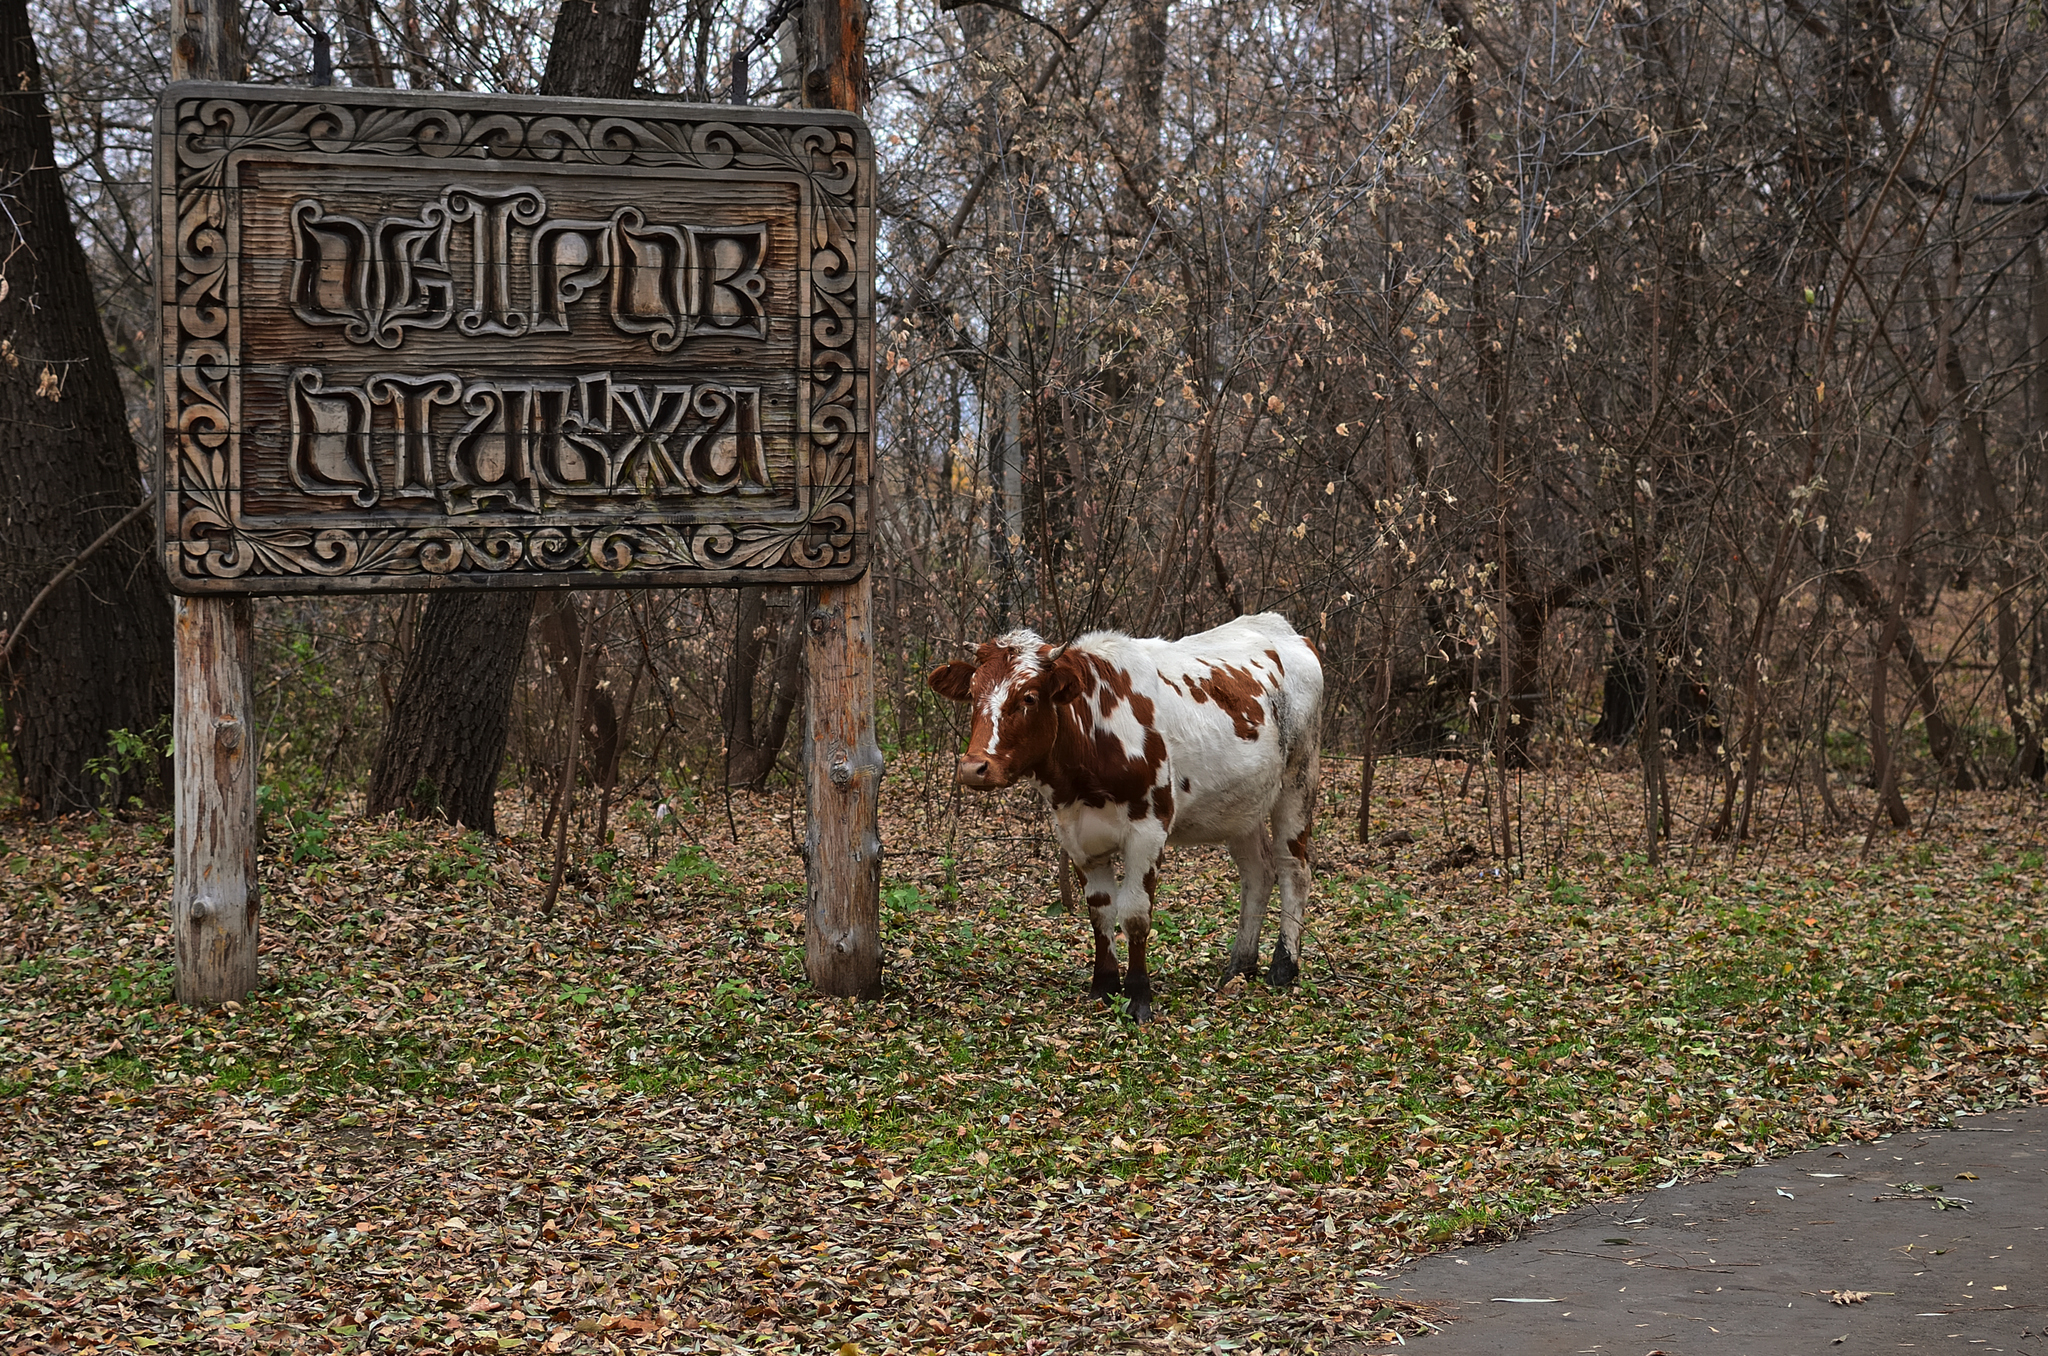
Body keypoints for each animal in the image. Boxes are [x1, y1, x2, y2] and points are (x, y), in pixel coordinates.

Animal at [933, 614, 1327, 1020]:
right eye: (973, 693)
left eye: (1028, 696)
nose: (973, 767)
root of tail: (1279, 626)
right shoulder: (1076, 836)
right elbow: (1100, 913)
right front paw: (1104, 987)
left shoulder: (1148, 830)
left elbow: (1135, 914)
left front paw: (1138, 995)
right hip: (1241, 804)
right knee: (1257, 873)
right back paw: (1239, 966)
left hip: (1299, 780)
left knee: (1293, 869)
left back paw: (1284, 967)